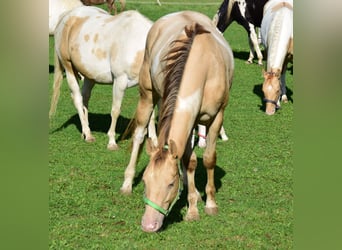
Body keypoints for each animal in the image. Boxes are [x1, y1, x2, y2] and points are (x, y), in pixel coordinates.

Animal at [49, 6, 156, 149]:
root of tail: (67, 16)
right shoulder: (120, 81)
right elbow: (115, 110)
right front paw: (111, 142)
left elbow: (151, 115)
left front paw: (155, 142)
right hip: (69, 68)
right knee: (77, 99)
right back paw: (88, 134)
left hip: (90, 76)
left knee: (85, 98)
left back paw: (85, 132)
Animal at [120, 9, 235, 232]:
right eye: (145, 182)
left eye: (170, 184)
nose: (148, 224)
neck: (203, 66)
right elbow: (190, 161)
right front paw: (192, 210)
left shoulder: (217, 117)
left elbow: (208, 159)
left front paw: (210, 204)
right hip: (148, 94)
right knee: (139, 135)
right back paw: (127, 183)